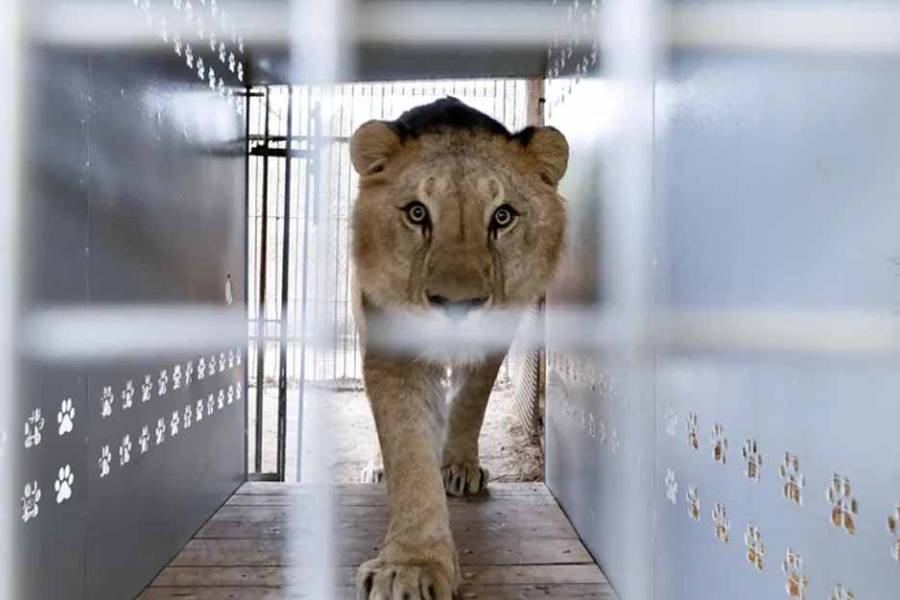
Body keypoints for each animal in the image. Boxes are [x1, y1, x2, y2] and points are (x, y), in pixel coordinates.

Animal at [349, 97, 568, 600]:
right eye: (417, 214)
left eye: (502, 216)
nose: (456, 304)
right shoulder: (392, 345)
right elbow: (407, 447)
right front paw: (411, 566)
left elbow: (470, 402)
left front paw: (458, 466)